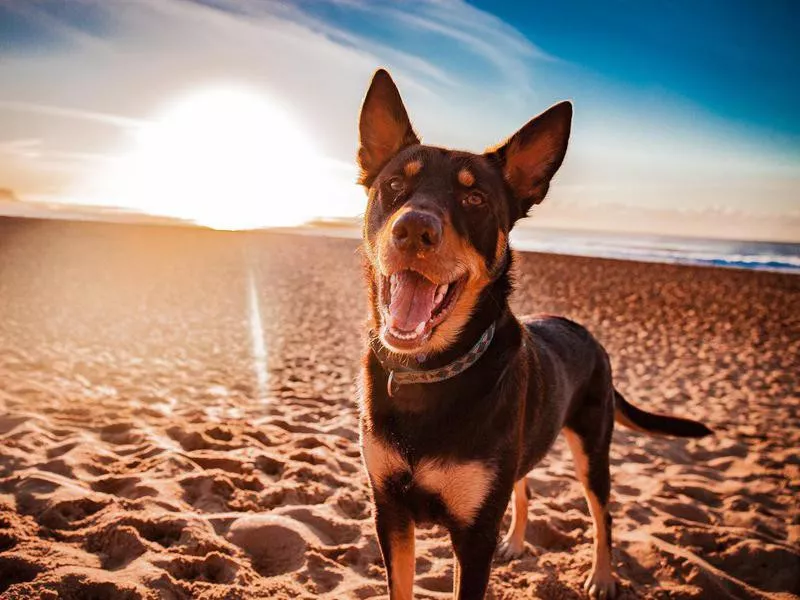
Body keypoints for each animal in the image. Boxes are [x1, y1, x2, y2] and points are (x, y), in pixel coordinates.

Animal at [356, 69, 712, 600]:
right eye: (395, 184)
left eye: (475, 198)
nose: (414, 229)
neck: (433, 374)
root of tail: (586, 333)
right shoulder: (391, 512)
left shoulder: (474, 534)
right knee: (525, 487)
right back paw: (519, 540)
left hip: (592, 450)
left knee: (603, 515)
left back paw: (602, 576)